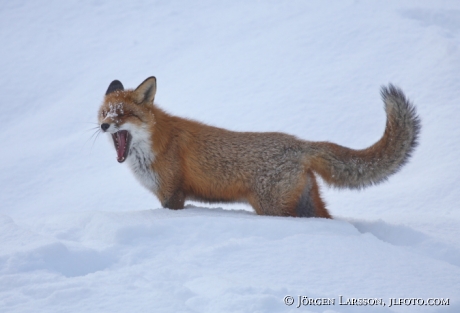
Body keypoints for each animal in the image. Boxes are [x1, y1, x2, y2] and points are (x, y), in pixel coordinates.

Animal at [97, 77, 420, 217]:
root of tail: (300, 144)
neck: (154, 145)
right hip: (305, 204)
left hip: (271, 207)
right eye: (104, 114)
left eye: (123, 115)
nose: (103, 127)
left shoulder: (173, 195)